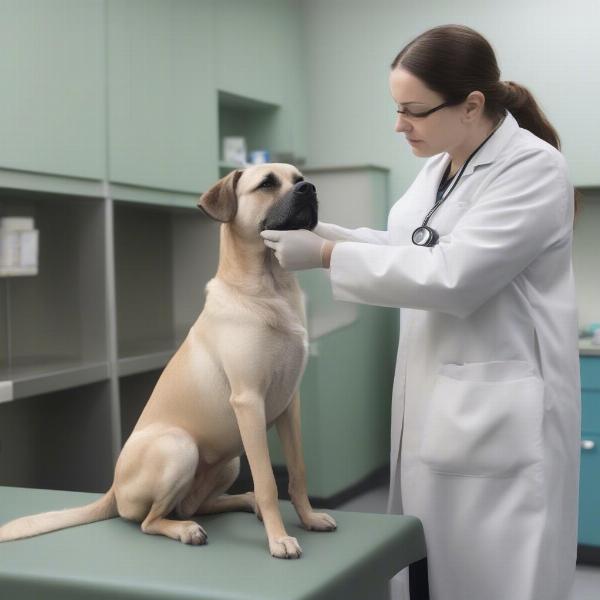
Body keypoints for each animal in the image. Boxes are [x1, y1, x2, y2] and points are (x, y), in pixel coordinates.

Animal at [0, 163, 338, 556]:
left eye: (298, 178)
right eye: (267, 183)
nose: (310, 188)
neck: (270, 288)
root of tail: (113, 489)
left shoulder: (289, 406)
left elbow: (298, 472)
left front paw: (309, 517)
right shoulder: (249, 403)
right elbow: (269, 481)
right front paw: (279, 538)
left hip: (229, 461)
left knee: (195, 505)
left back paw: (243, 501)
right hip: (180, 447)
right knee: (151, 520)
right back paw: (188, 529)